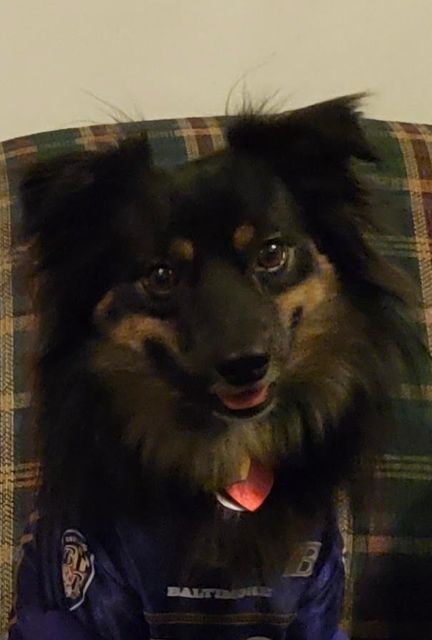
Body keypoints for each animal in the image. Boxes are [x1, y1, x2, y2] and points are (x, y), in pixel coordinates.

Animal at [7, 96, 418, 640]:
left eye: (270, 253)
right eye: (161, 275)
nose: (246, 365)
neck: (229, 460)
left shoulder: (314, 600)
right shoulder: (86, 590)